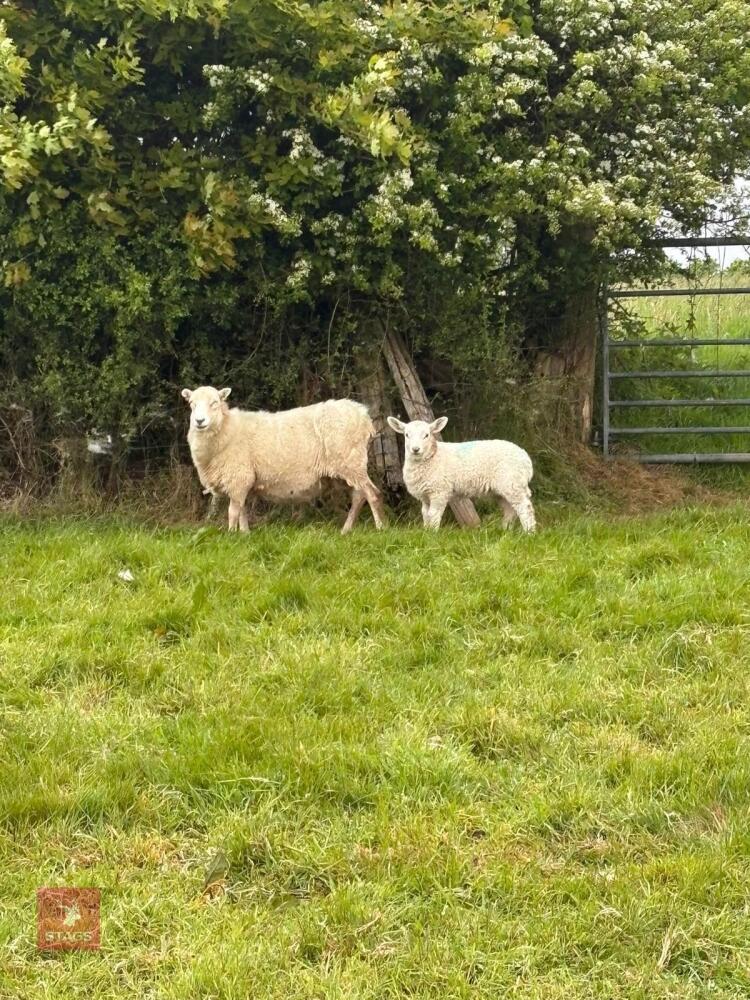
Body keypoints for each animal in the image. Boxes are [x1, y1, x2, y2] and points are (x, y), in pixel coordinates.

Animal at [182, 386, 385, 533]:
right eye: (191, 404)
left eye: (214, 403)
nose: (199, 421)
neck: (226, 428)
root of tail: (363, 415)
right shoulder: (241, 482)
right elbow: (242, 511)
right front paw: (244, 534)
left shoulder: (238, 477)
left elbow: (233, 512)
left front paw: (232, 535)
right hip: (348, 467)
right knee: (359, 496)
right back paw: (346, 530)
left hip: (351, 462)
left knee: (372, 494)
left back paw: (381, 528)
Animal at [386, 415, 535, 532]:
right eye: (407, 435)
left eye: (426, 435)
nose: (415, 449)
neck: (432, 457)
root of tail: (526, 458)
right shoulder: (425, 495)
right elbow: (425, 514)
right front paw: (426, 531)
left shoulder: (439, 491)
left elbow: (433, 514)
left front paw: (432, 534)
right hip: (503, 488)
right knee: (510, 509)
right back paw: (505, 531)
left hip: (512, 482)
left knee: (525, 507)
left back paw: (529, 533)